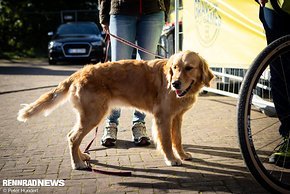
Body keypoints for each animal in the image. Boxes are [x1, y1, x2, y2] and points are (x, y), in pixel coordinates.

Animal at [17, 50, 214, 170]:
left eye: (189, 68)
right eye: (175, 68)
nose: (175, 84)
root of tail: (80, 72)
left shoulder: (177, 117)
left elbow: (177, 139)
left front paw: (182, 155)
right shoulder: (163, 117)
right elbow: (166, 141)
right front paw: (172, 159)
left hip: (87, 116)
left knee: (72, 136)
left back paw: (82, 157)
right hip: (94, 115)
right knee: (73, 138)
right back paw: (77, 163)